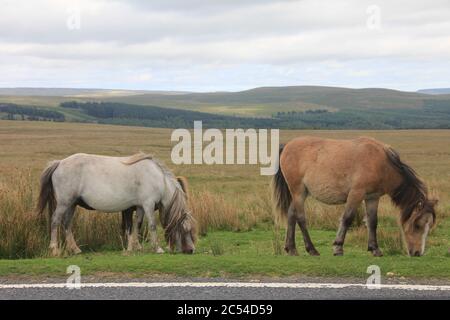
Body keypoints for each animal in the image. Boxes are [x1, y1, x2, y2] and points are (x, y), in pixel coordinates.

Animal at [36, 153, 195, 258]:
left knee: (67, 224)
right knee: (55, 221)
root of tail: (59, 163)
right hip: (64, 203)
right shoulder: (148, 204)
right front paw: (157, 248)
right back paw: (54, 249)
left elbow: (136, 226)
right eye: (185, 230)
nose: (191, 250)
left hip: (71, 204)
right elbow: (152, 226)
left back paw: (75, 249)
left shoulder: (140, 207)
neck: (157, 178)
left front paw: (134, 247)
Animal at [272, 136, 438, 256]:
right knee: (300, 218)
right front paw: (338, 247)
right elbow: (347, 218)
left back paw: (291, 248)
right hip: (298, 192)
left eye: (429, 226)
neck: (381, 163)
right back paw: (311, 249)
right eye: (417, 225)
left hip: (301, 193)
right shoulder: (356, 194)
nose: (417, 253)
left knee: (291, 215)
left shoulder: (372, 197)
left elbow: (372, 222)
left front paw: (375, 249)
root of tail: (287, 146)